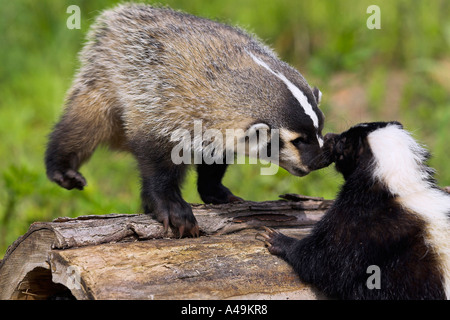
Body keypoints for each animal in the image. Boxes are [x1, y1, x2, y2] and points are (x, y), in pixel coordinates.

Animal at [260, 121, 450, 298]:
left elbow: (327, 261)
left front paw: (277, 239)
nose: (328, 136)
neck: (400, 187)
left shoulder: (365, 225)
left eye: (344, 141)